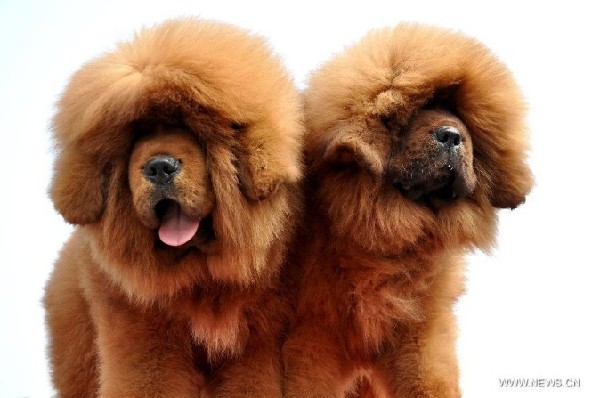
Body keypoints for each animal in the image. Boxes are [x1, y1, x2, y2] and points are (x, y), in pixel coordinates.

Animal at [45, 18, 304, 398]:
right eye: (138, 135)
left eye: (191, 130)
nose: (159, 167)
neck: (201, 280)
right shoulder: (144, 335)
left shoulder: (254, 345)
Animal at [284, 23, 532, 396]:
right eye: (412, 115)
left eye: (459, 116)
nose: (452, 136)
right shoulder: (310, 337)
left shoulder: (419, 333)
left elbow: (430, 381)